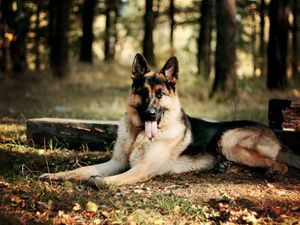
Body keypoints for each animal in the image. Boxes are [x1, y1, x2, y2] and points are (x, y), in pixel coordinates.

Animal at [41, 54, 300, 185]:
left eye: (160, 94)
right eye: (143, 92)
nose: (150, 114)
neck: (138, 134)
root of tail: (274, 133)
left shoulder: (141, 169)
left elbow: (105, 180)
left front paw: (97, 181)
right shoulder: (116, 162)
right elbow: (82, 169)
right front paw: (56, 176)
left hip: (228, 140)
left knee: (279, 164)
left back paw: (272, 172)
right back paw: (225, 167)